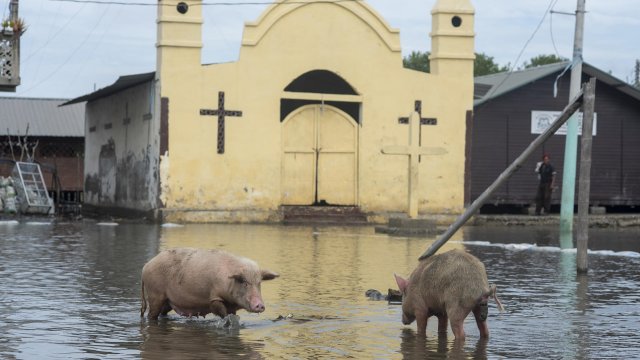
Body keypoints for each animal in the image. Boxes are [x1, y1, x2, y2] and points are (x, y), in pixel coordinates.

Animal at [141, 248, 278, 320]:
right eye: (244, 282)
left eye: (259, 283)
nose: (260, 305)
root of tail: (145, 267)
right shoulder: (213, 297)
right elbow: (220, 311)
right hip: (154, 294)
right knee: (151, 314)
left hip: (168, 301)